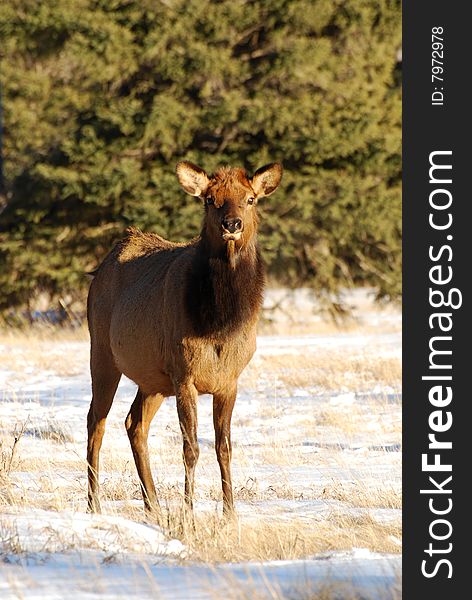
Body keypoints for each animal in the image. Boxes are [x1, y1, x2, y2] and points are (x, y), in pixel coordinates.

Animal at [86, 159, 282, 516]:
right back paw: (94, 505)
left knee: (134, 423)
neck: (218, 324)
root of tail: (99, 268)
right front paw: (189, 512)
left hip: (152, 379)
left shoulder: (229, 380)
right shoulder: (184, 375)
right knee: (96, 421)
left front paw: (230, 513)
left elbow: (223, 447)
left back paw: (153, 505)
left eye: (250, 199)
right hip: (103, 353)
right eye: (210, 200)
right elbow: (191, 447)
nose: (231, 224)